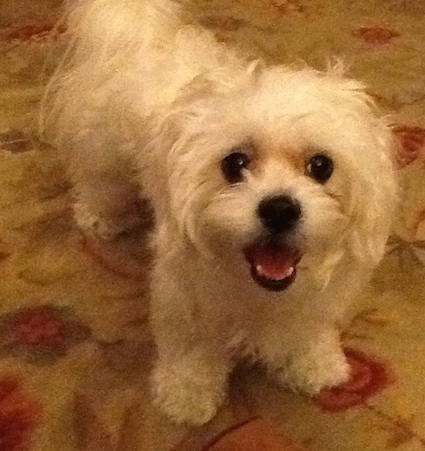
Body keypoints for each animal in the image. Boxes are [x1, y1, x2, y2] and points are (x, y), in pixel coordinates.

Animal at [43, 0, 394, 428]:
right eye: (234, 163)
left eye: (321, 166)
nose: (280, 209)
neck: (258, 289)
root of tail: (142, 37)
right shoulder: (186, 294)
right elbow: (192, 349)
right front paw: (187, 393)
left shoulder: (313, 299)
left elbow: (308, 329)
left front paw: (314, 362)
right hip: (102, 149)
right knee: (99, 183)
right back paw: (100, 216)